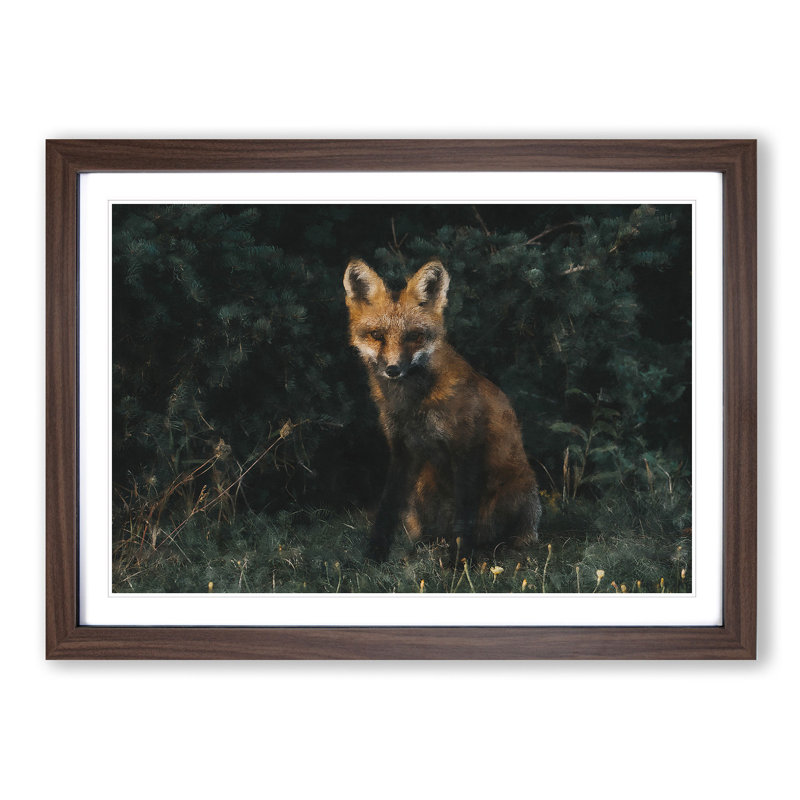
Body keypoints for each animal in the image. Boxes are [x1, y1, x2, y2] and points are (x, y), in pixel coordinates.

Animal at [344, 258, 541, 562]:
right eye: (377, 335)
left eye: (414, 336)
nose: (393, 370)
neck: (413, 406)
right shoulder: (401, 450)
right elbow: (387, 508)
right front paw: (374, 555)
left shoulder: (465, 448)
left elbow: (465, 514)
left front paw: (460, 562)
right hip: (421, 492)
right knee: (430, 532)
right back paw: (426, 545)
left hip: (520, 491)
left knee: (504, 536)